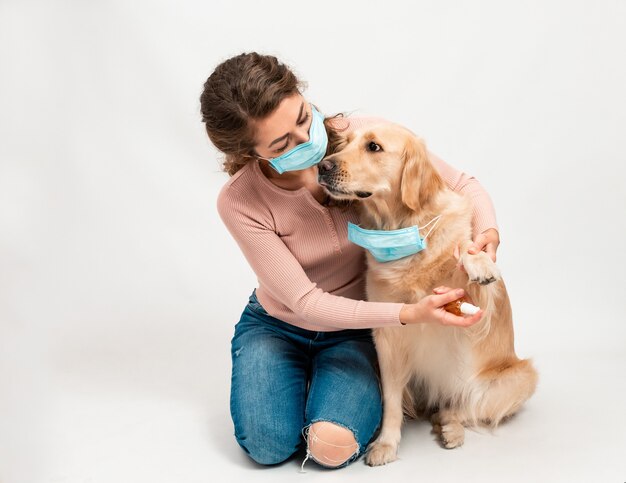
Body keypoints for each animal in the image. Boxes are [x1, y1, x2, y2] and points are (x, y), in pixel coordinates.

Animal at [316, 123, 536, 466]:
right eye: (343, 143)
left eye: (374, 147)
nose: (322, 166)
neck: (406, 226)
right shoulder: (388, 338)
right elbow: (392, 402)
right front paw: (386, 444)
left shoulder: (477, 308)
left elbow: (465, 248)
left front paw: (480, 263)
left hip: (519, 378)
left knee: (464, 408)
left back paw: (451, 428)